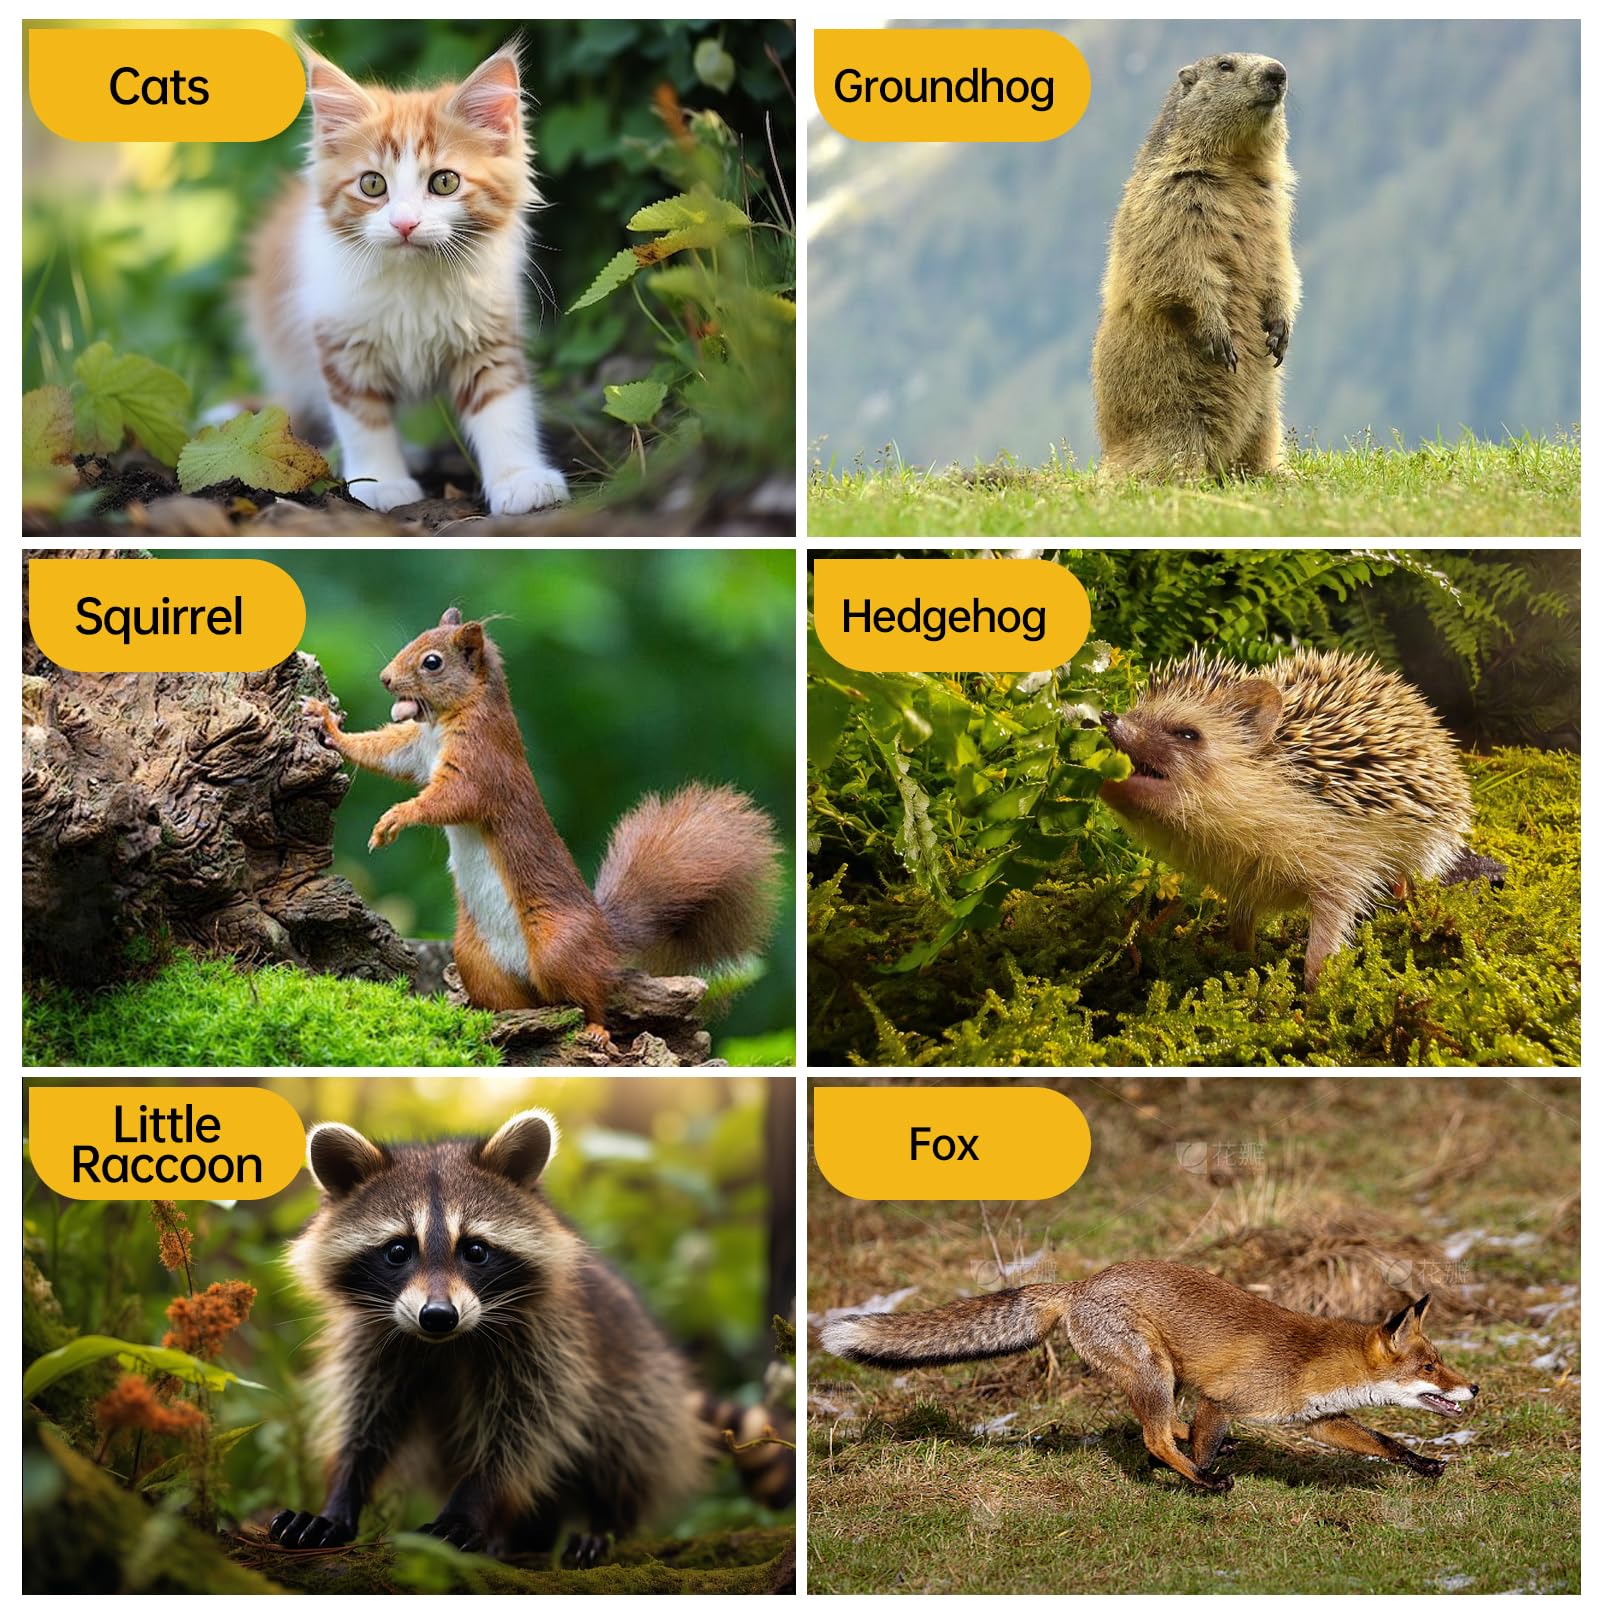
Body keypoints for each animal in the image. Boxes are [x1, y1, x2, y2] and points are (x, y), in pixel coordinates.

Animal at [302, 608, 779, 1044]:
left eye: (432, 662)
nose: (385, 679)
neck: (449, 719)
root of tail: (605, 938)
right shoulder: (417, 750)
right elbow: (383, 752)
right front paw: (326, 723)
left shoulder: (481, 767)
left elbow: (449, 800)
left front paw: (394, 819)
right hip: (476, 958)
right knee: (524, 1000)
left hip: (557, 947)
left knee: (592, 995)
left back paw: (596, 1030)